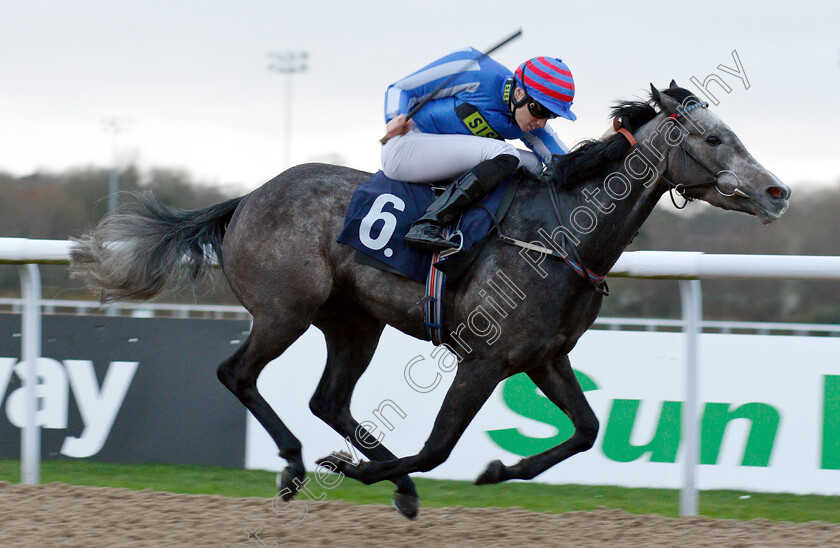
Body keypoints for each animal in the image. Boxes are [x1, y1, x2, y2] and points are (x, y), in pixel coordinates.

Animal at [70, 81, 788, 520]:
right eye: (714, 138)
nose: (777, 191)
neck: (560, 234)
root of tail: (247, 197)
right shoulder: (485, 359)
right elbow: (442, 446)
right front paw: (354, 470)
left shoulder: (544, 357)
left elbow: (586, 431)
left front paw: (498, 469)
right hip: (285, 310)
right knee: (237, 373)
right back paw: (300, 464)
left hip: (354, 322)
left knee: (329, 399)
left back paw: (395, 481)